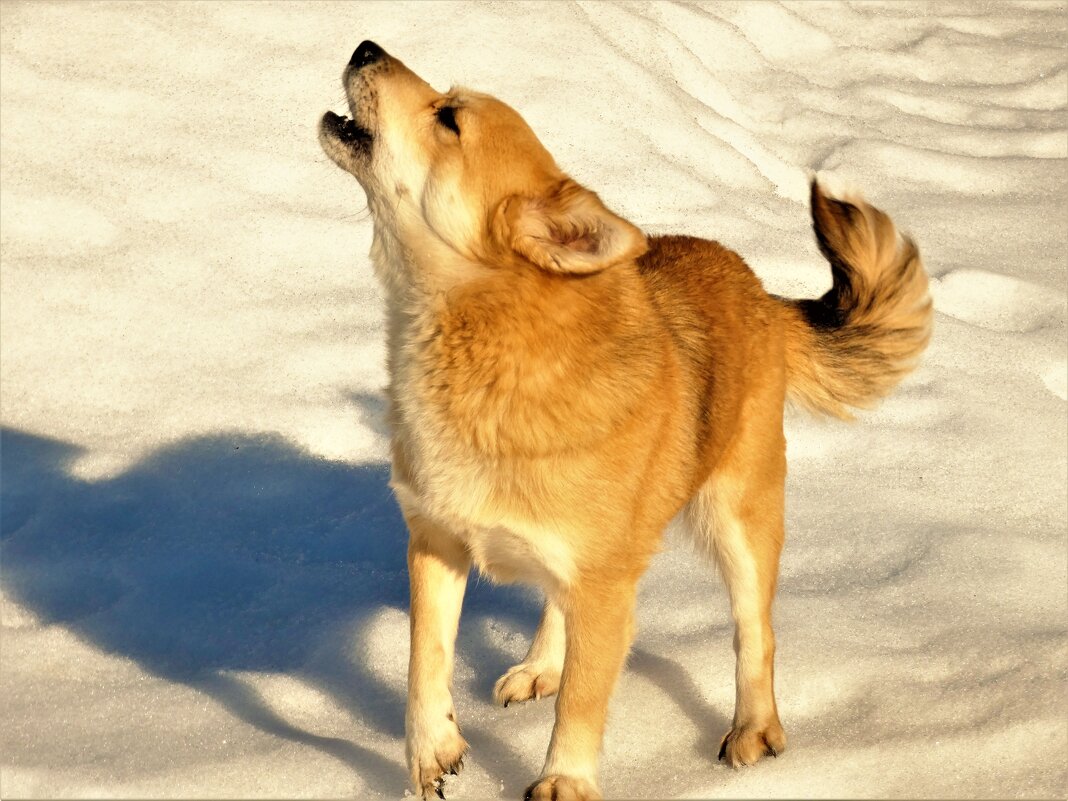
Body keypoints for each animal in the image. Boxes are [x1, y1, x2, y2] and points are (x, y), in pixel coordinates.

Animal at [316, 40, 927, 798]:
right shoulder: (437, 543)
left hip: (738, 519)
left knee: (754, 633)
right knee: (559, 607)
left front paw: (564, 780)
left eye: (449, 117)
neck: (485, 346)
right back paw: (541, 664)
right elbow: (422, 667)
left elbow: (583, 700)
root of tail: (758, 289)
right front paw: (432, 754)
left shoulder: (606, 583)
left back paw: (754, 728)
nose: (364, 48)